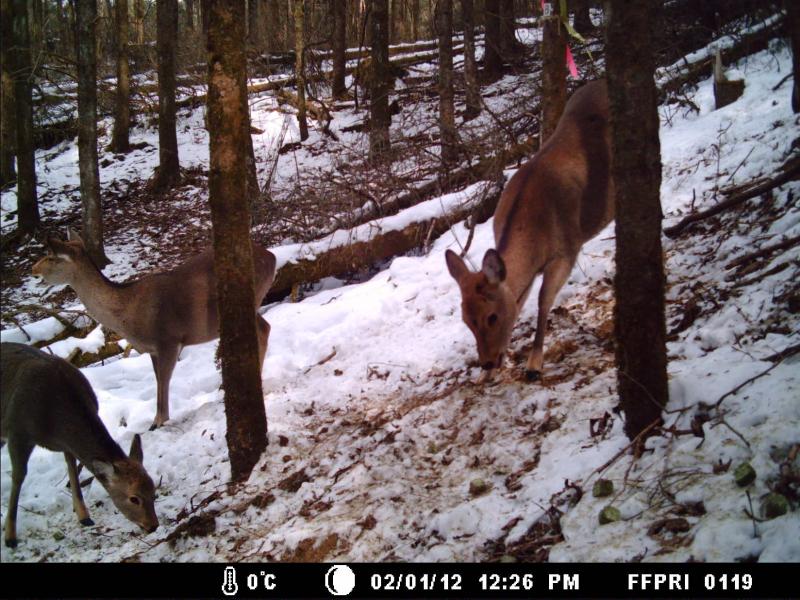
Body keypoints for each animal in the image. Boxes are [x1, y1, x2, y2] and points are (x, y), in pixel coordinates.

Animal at [0, 340, 159, 548]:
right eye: (134, 498)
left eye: (153, 491)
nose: (153, 525)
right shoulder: (18, 431)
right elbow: (18, 476)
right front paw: (10, 537)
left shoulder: (66, 444)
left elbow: (72, 467)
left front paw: (84, 516)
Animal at [32, 231, 278, 432]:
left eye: (52, 257)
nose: (34, 270)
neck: (128, 313)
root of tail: (272, 258)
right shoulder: (152, 349)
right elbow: (158, 378)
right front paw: (157, 419)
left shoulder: (168, 339)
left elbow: (164, 379)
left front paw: (159, 421)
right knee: (264, 327)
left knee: (263, 329)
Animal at [444, 78, 612, 380]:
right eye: (466, 321)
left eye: (492, 316)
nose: (486, 363)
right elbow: (520, 301)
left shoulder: (567, 249)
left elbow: (544, 301)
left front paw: (534, 364)